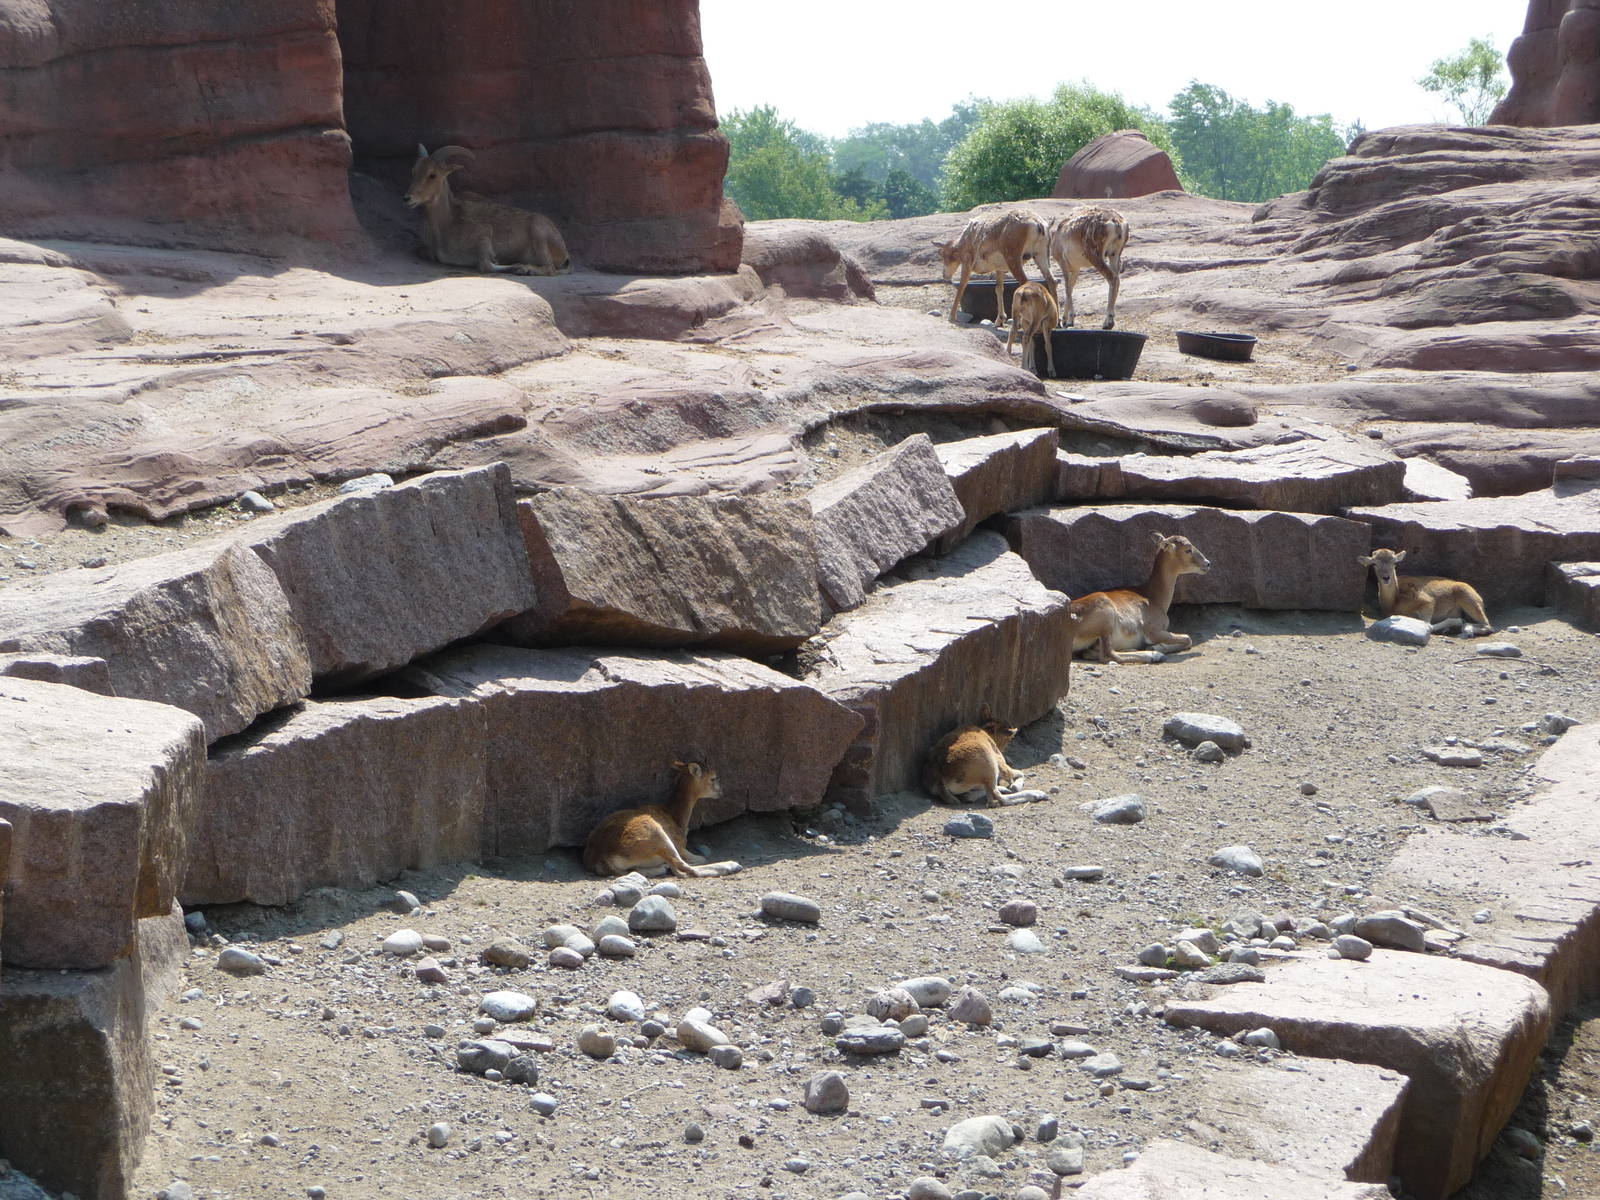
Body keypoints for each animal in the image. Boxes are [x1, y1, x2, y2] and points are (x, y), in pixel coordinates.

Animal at [405, 144, 571, 276]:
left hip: (539, 232)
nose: (407, 198)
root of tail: (565, 253)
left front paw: (513, 266)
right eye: (413, 171)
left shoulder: (483, 234)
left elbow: (485, 265)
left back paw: (526, 269)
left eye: (433, 175)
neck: (448, 223)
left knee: (550, 268)